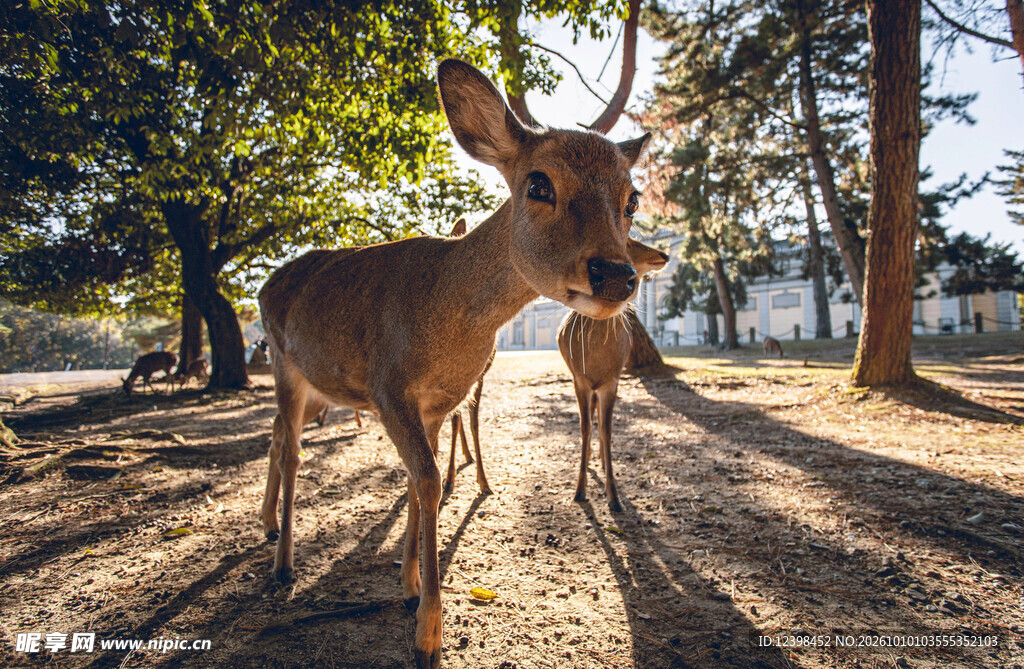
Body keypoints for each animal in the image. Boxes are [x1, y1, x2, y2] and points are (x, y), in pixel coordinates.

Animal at [258, 58, 652, 669]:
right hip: (283, 362)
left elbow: (424, 479)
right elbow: (427, 479)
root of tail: (262, 286)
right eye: (538, 183)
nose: (616, 275)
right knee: (292, 448)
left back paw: (269, 528)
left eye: (631, 199)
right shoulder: (388, 386)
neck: (448, 324)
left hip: (311, 383)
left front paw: (409, 587)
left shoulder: (441, 400)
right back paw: (282, 566)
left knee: (277, 436)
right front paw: (428, 635)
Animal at [558, 239, 669, 512]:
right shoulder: (580, 380)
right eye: (628, 241)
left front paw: (615, 497)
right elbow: (584, 427)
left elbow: (608, 431)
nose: (664, 254)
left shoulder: (612, 381)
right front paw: (579, 491)